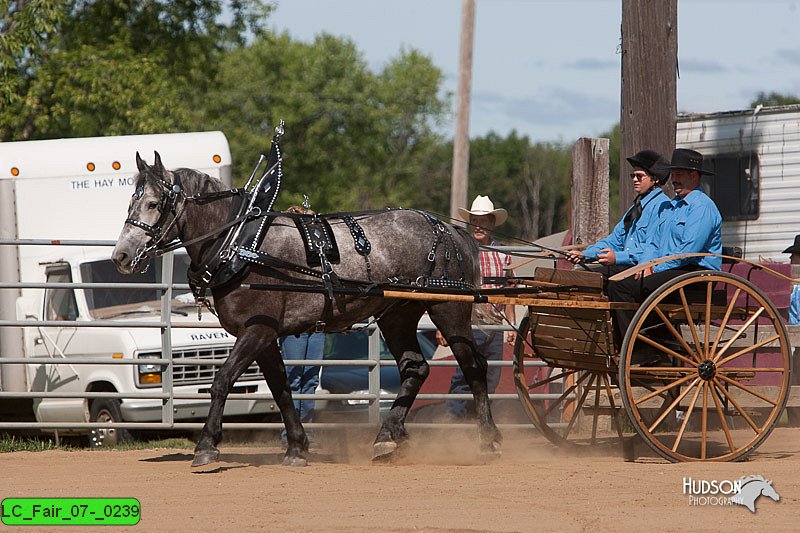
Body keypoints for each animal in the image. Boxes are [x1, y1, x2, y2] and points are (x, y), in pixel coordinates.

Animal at [112, 153, 500, 466]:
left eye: (153, 204)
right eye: (129, 203)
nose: (121, 256)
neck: (239, 244)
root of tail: (449, 230)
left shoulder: (258, 329)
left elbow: (223, 380)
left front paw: (207, 445)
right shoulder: (265, 335)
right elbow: (282, 389)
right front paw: (297, 447)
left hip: (448, 309)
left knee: (473, 366)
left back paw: (489, 441)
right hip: (397, 314)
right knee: (414, 368)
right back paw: (387, 438)